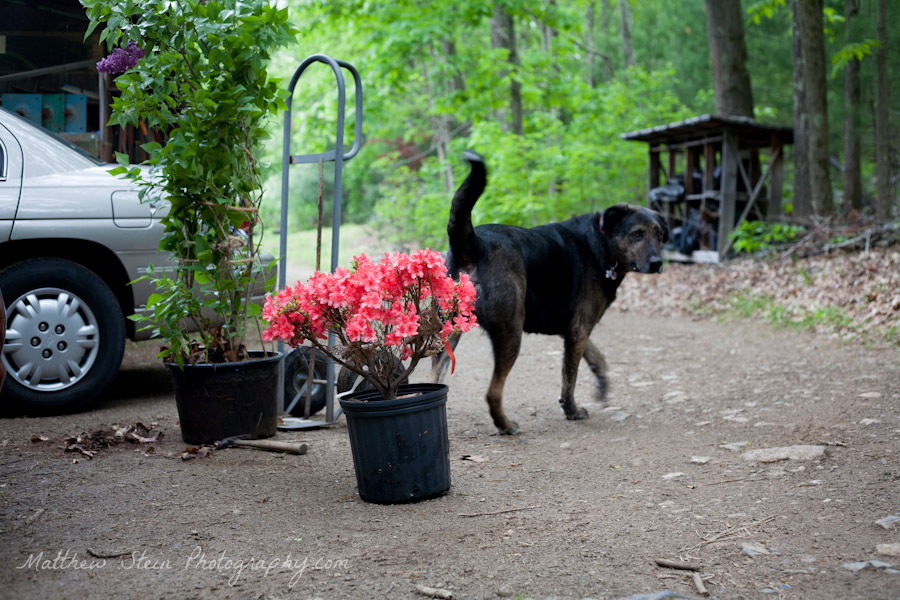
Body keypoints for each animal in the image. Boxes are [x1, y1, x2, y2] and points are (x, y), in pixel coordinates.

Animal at [432, 152, 664, 434]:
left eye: (659, 235)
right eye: (637, 234)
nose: (657, 263)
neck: (600, 241)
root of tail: (474, 244)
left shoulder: (574, 329)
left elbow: (595, 357)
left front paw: (600, 385)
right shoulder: (578, 330)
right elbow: (570, 377)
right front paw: (571, 410)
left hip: (446, 335)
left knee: (434, 378)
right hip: (510, 333)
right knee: (493, 392)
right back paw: (506, 425)